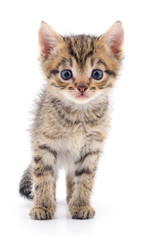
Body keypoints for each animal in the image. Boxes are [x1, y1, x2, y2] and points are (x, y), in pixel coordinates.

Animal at [19, 21, 124, 219]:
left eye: (97, 74)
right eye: (66, 74)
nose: (82, 87)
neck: (78, 115)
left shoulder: (91, 149)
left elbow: (84, 178)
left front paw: (81, 204)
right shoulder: (43, 145)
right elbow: (43, 176)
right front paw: (42, 206)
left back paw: (70, 199)